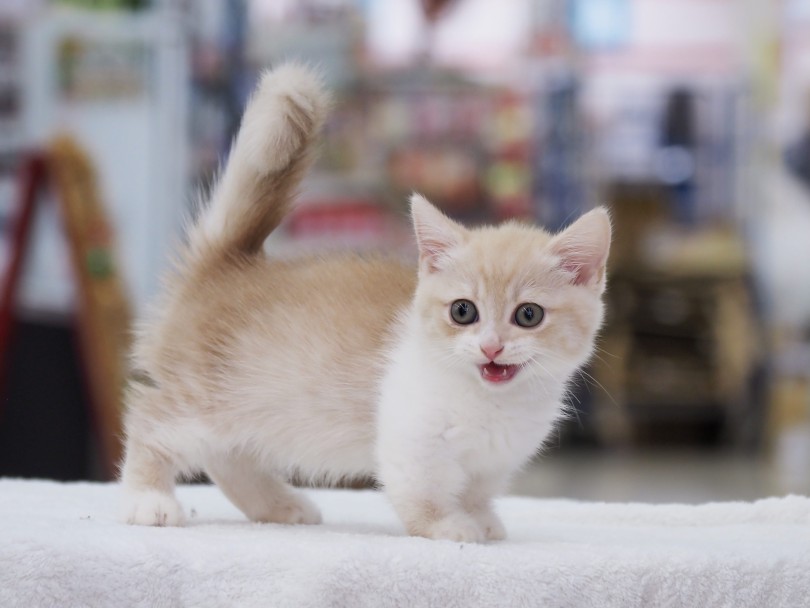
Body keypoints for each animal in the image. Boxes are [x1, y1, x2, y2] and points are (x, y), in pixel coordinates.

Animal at [120, 64, 608, 544]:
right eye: (463, 311)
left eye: (528, 315)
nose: (491, 346)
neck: (493, 403)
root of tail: (226, 263)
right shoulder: (410, 440)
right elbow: (423, 492)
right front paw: (449, 526)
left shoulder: (492, 459)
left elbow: (476, 490)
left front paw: (481, 518)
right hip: (203, 399)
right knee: (151, 423)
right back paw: (149, 500)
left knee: (228, 457)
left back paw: (278, 506)